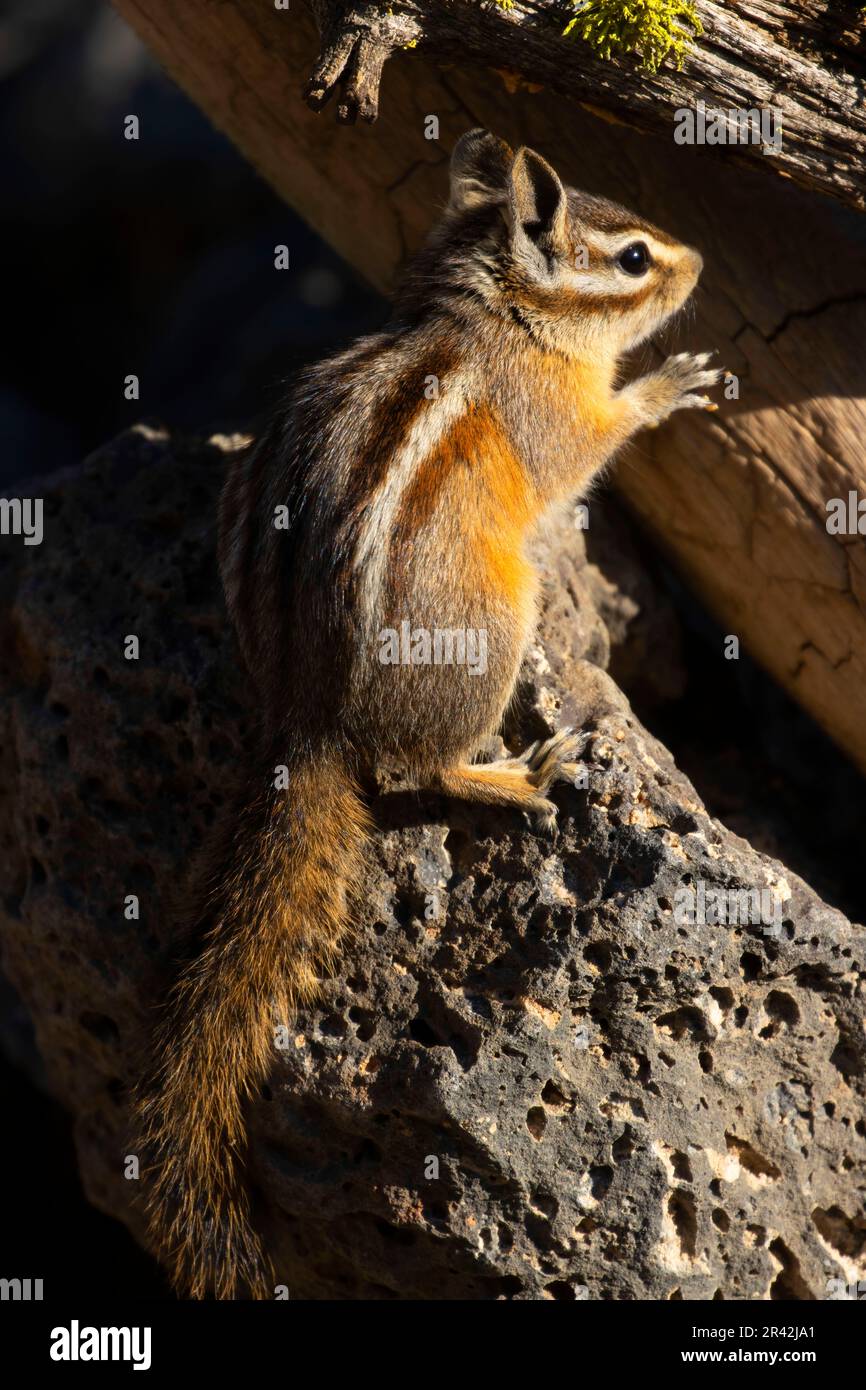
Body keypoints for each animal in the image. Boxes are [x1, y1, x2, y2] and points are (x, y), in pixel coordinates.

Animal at [134, 129, 722, 1299]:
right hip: (492, 629)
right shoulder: (552, 414)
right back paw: (521, 773)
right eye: (634, 257)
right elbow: (596, 437)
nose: (697, 266)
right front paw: (668, 384)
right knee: (417, 772)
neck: (495, 316)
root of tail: (307, 717)